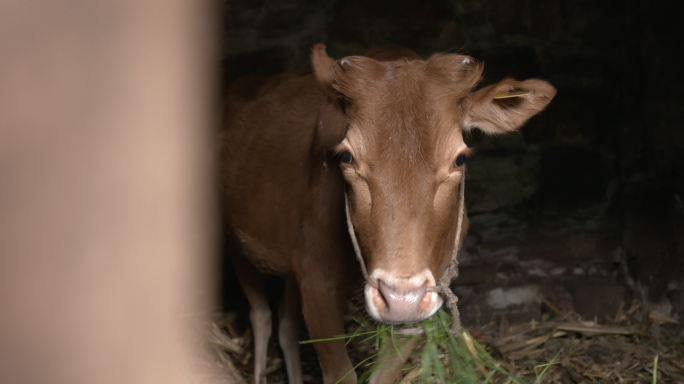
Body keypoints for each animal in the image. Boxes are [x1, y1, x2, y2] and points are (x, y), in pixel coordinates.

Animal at [220, 43, 556, 382]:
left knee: (287, 324)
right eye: (347, 157)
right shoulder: (317, 282)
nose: (399, 297)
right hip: (235, 241)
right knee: (261, 315)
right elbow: (340, 372)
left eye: (459, 159)